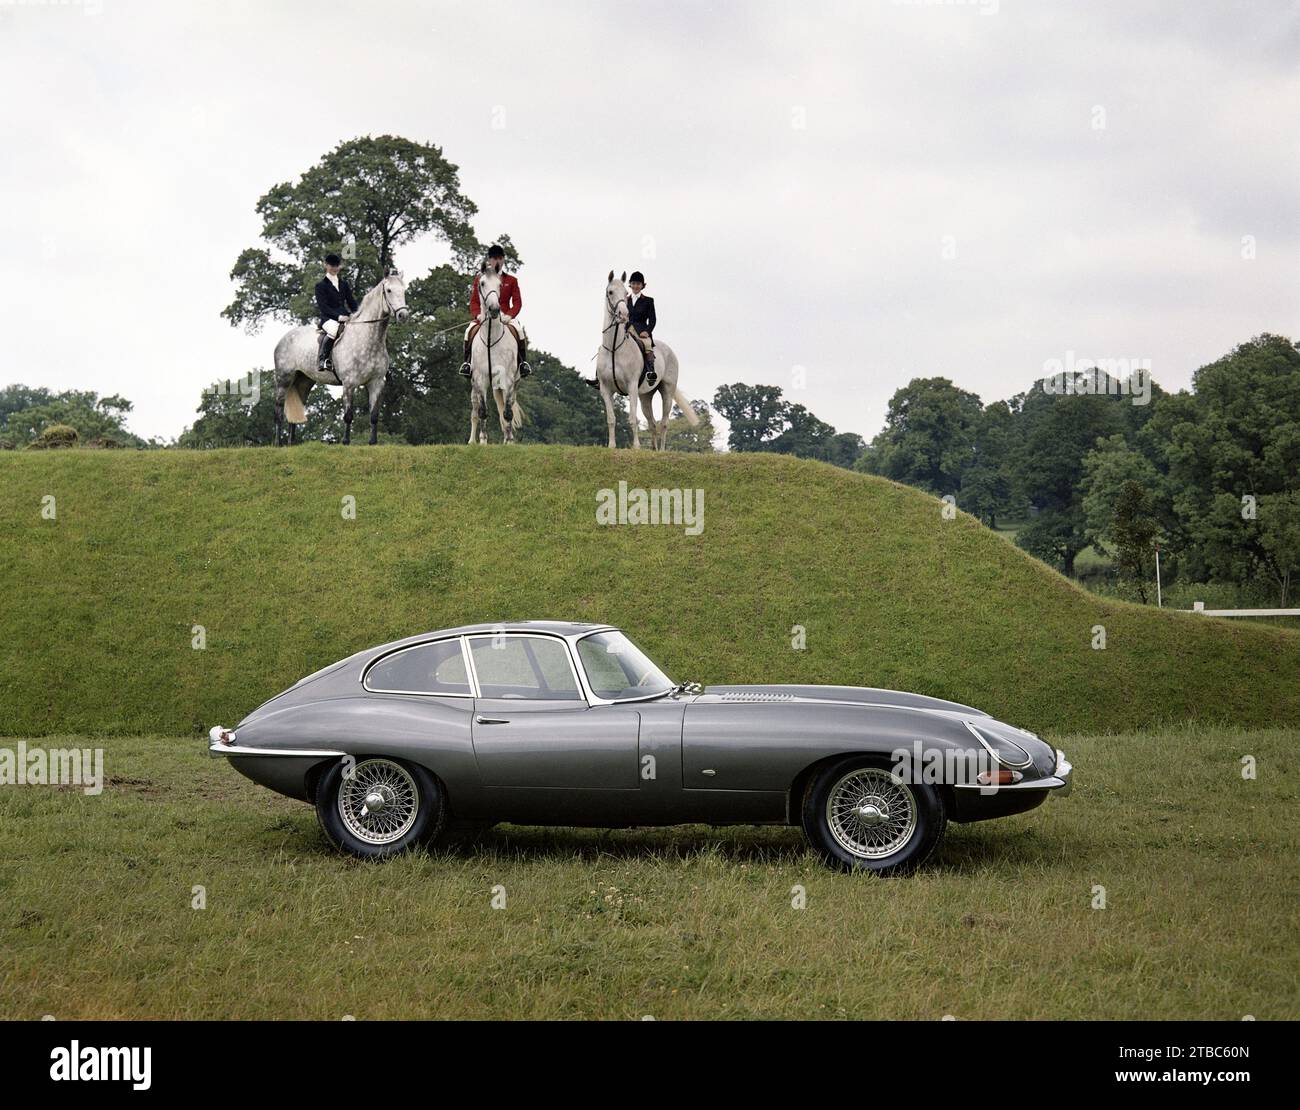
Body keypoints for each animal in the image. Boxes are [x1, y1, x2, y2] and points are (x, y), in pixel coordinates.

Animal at [266, 272, 403, 447]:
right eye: (389, 290)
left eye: (404, 290)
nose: (403, 315)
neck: (368, 338)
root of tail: (283, 339)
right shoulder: (349, 383)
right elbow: (348, 415)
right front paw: (345, 442)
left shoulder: (377, 382)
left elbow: (373, 415)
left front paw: (373, 443)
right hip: (284, 379)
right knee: (278, 409)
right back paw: (278, 444)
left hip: (303, 381)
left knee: (296, 407)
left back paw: (292, 444)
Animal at [470, 265, 525, 444]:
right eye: (481, 283)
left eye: (500, 285)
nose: (494, 310)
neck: (490, 338)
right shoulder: (480, 379)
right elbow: (482, 411)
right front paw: (482, 441)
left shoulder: (507, 380)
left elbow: (507, 412)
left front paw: (509, 441)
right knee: (474, 411)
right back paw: (471, 441)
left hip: (512, 384)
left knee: (507, 408)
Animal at [598, 271, 702, 449]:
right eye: (610, 292)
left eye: (625, 293)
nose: (624, 315)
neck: (614, 349)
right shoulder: (606, 389)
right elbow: (611, 419)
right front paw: (611, 446)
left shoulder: (632, 386)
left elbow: (633, 419)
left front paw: (636, 447)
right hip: (646, 396)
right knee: (652, 423)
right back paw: (653, 449)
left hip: (667, 390)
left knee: (664, 423)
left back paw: (661, 451)